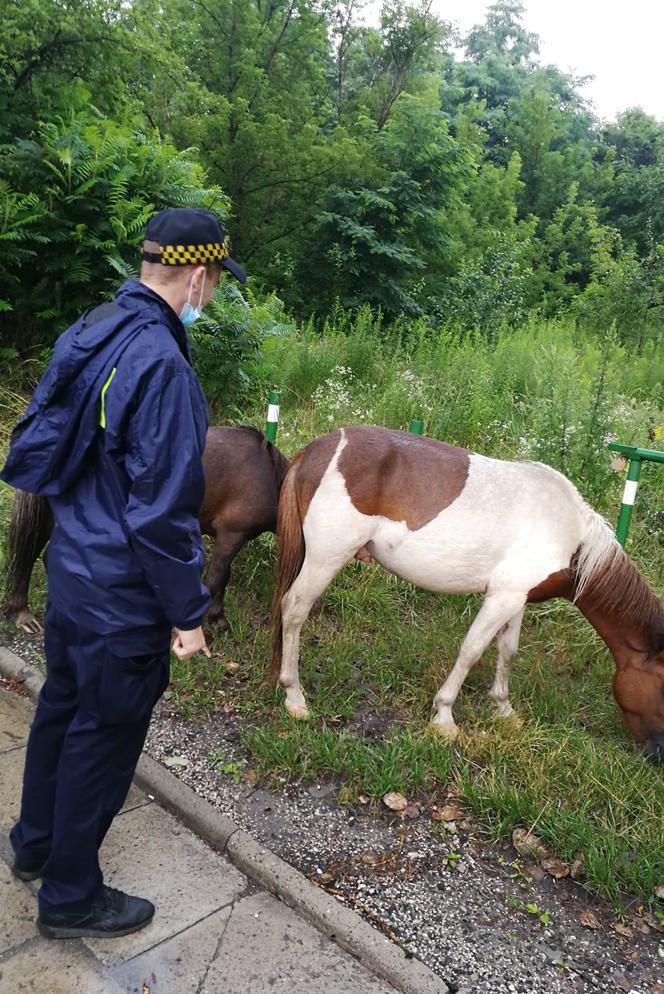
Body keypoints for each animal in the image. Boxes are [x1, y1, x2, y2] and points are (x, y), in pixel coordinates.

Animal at [2, 422, 288, 632]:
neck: (271, 475)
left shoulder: (230, 537)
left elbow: (223, 577)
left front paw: (217, 618)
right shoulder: (232, 534)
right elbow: (215, 578)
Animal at [272, 424, 664, 760]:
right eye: (662, 684)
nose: (657, 755)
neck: (568, 534)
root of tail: (316, 450)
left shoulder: (516, 597)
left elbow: (507, 651)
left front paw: (503, 709)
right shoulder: (501, 598)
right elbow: (472, 650)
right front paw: (444, 716)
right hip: (325, 558)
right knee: (294, 610)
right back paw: (294, 696)